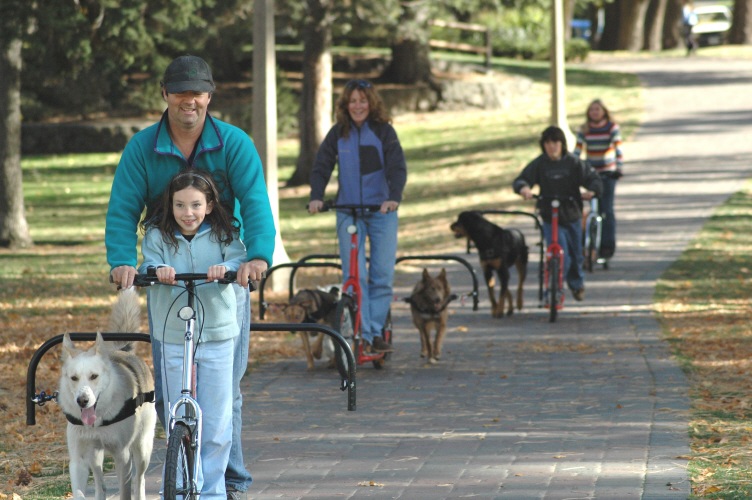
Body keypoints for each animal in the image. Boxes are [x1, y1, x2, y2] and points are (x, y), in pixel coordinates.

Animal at [58, 290, 156, 500]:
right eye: (74, 378)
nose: (82, 401)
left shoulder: (123, 457)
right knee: (99, 481)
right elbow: (79, 492)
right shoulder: (78, 459)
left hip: (142, 448)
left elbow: (126, 491)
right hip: (95, 455)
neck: (99, 419)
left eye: (94, 376)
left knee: (140, 479)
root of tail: (122, 350)